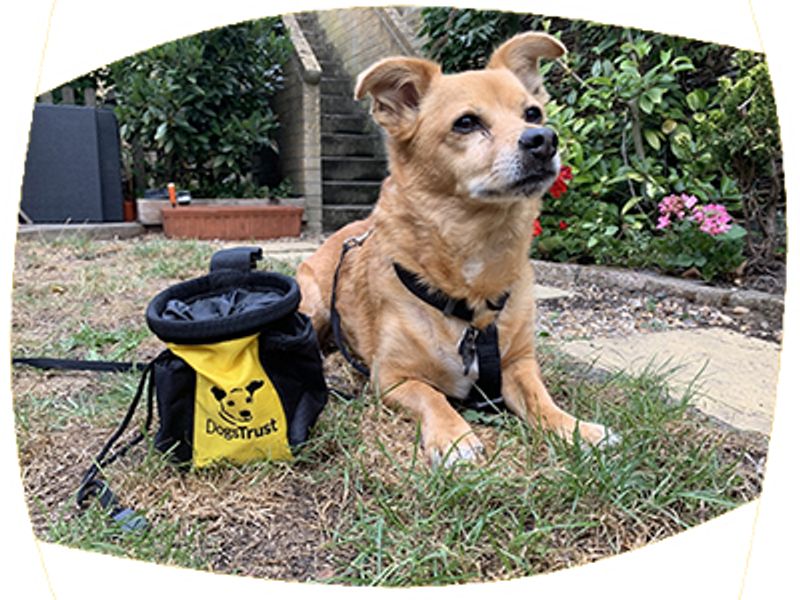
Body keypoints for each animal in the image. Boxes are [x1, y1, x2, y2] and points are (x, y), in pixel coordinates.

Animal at [296, 31, 616, 464]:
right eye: (466, 123)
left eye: (533, 114)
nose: (545, 139)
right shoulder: (391, 377)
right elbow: (432, 396)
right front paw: (454, 437)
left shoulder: (519, 364)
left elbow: (541, 400)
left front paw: (578, 429)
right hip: (312, 305)